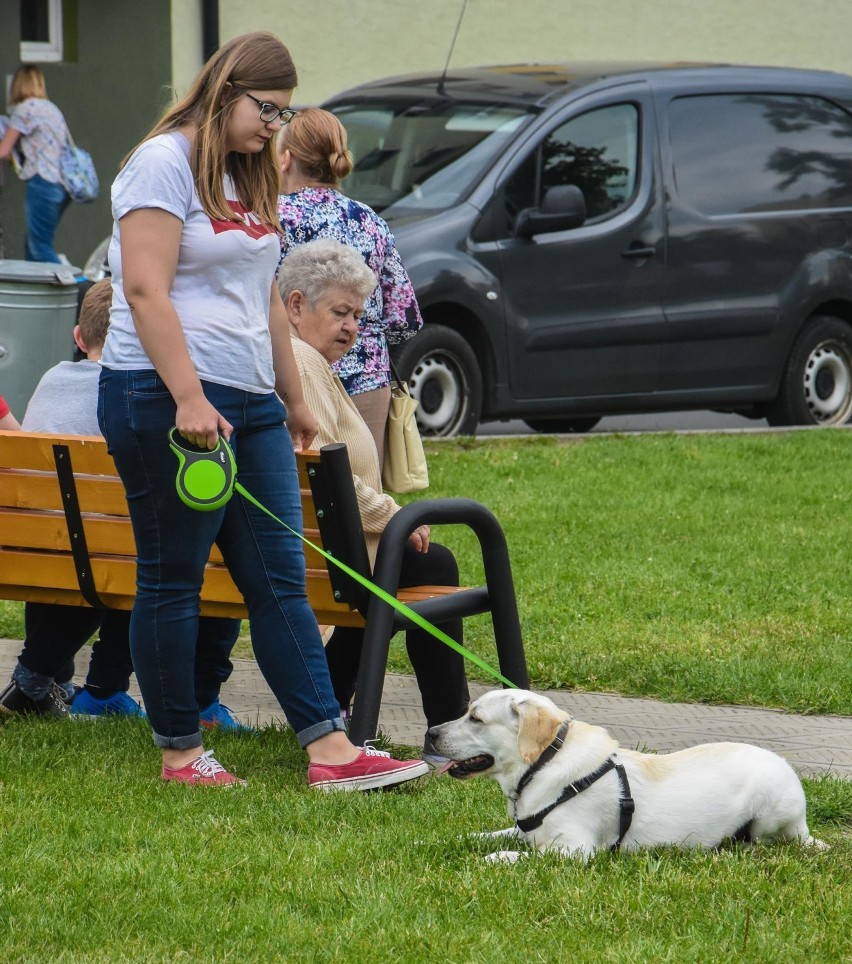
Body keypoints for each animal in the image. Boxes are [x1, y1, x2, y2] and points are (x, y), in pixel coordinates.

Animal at [430, 688, 824, 864]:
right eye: (467, 712)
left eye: (476, 718)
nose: (431, 733)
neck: (542, 763)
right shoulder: (525, 828)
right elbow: (479, 835)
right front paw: (436, 842)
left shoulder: (576, 848)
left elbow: (522, 855)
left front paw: (495, 859)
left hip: (771, 814)